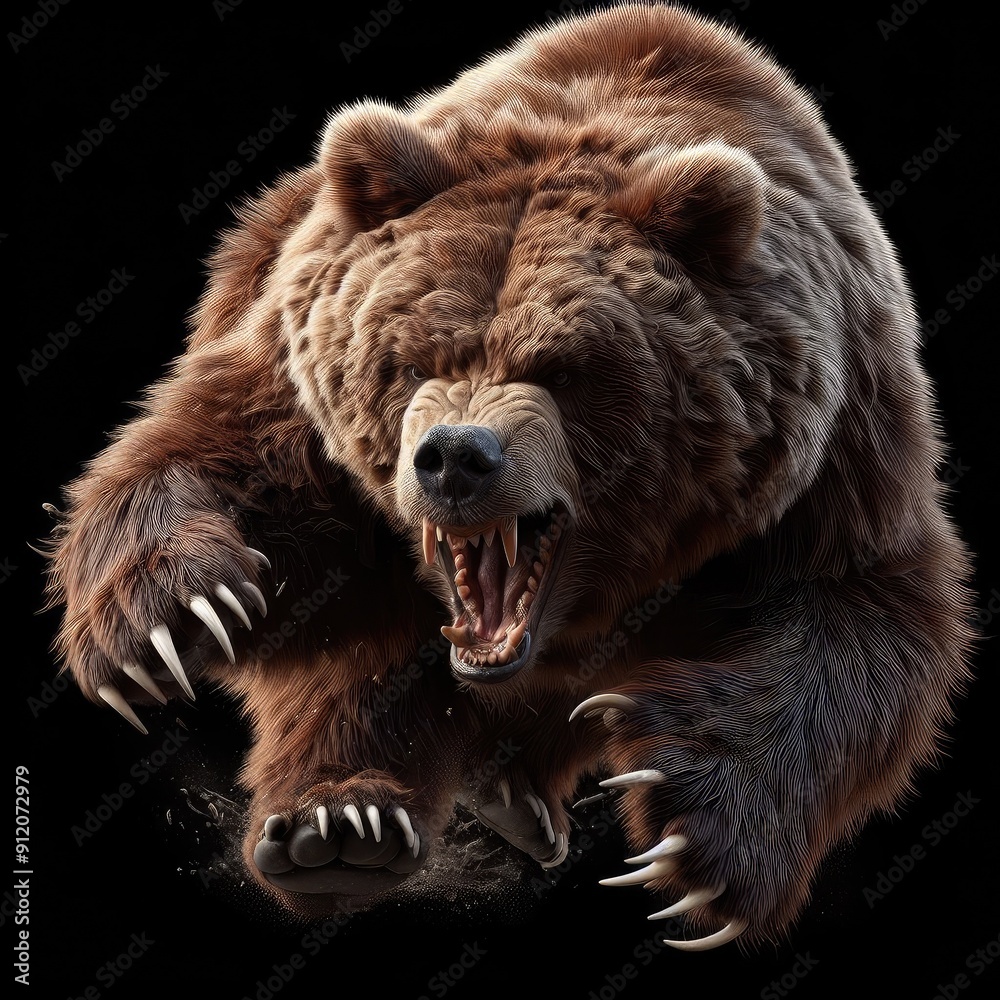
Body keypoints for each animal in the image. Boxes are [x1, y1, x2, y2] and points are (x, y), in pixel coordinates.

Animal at [43, 1, 974, 950]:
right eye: (412, 357)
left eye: (567, 367)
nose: (456, 455)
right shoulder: (297, 392)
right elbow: (215, 464)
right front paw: (180, 614)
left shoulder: (828, 458)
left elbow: (855, 624)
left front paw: (691, 833)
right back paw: (340, 827)